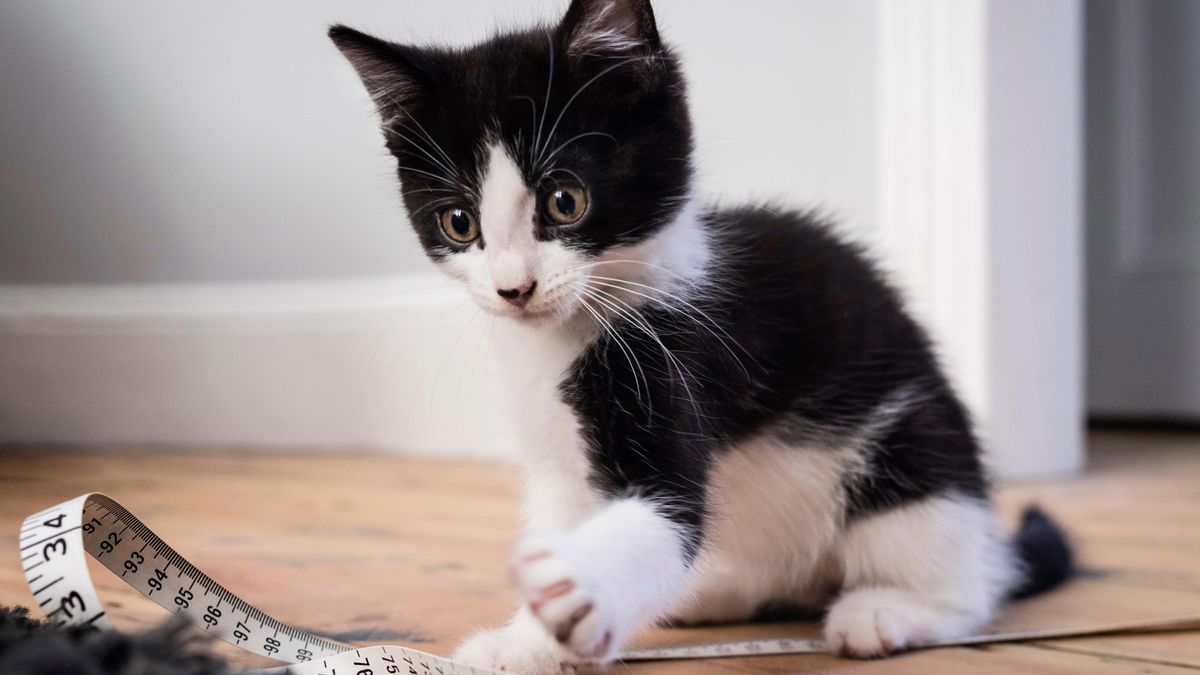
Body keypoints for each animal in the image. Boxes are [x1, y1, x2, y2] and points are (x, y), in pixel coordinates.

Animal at [328, 2, 1070, 667]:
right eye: (458, 222)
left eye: (565, 201)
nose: (515, 288)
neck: (568, 337)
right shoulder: (556, 463)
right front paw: (535, 637)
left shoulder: (681, 357)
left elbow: (668, 511)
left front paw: (553, 611)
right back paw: (715, 592)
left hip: (912, 447)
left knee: (966, 578)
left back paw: (890, 609)